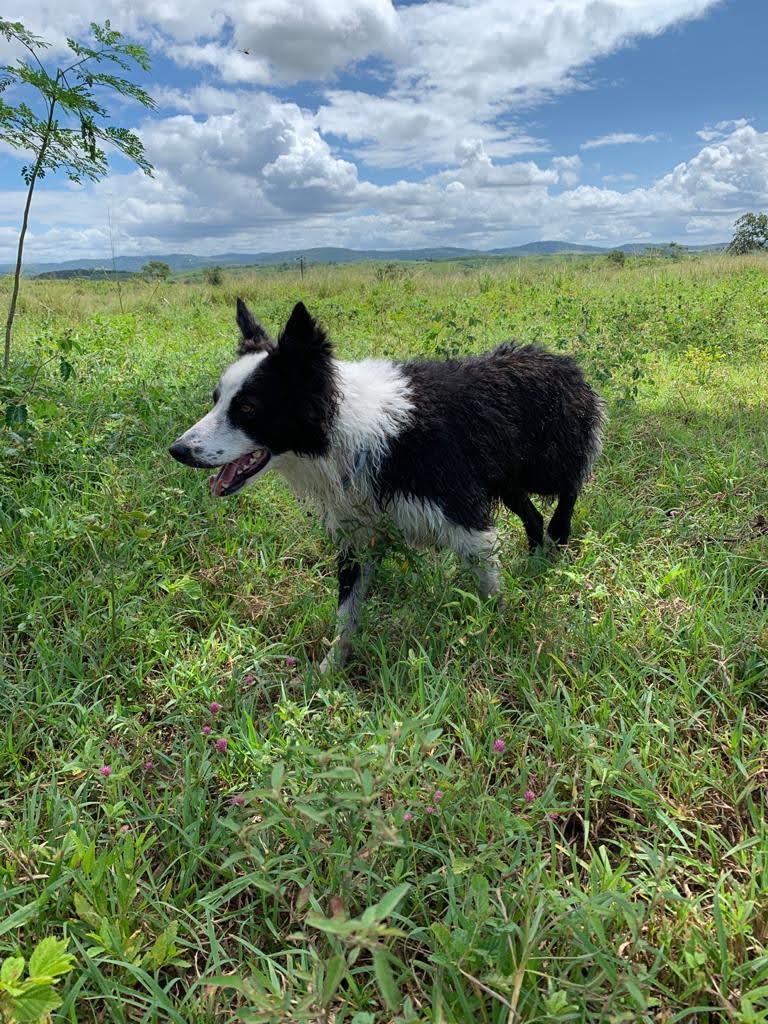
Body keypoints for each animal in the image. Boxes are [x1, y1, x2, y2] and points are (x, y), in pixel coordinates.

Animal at [169, 299, 606, 667]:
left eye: (247, 408)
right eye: (215, 399)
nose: (178, 450)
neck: (346, 432)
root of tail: (562, 361)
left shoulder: (462, 516)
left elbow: (488, 587)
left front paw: (497, 631)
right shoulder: (358, 533)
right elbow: (346, 612)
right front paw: (330, 670)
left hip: (544, 463)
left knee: (571, 483)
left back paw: (558, 537)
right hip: (504, 480)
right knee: (531, 515)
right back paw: (535, 561)